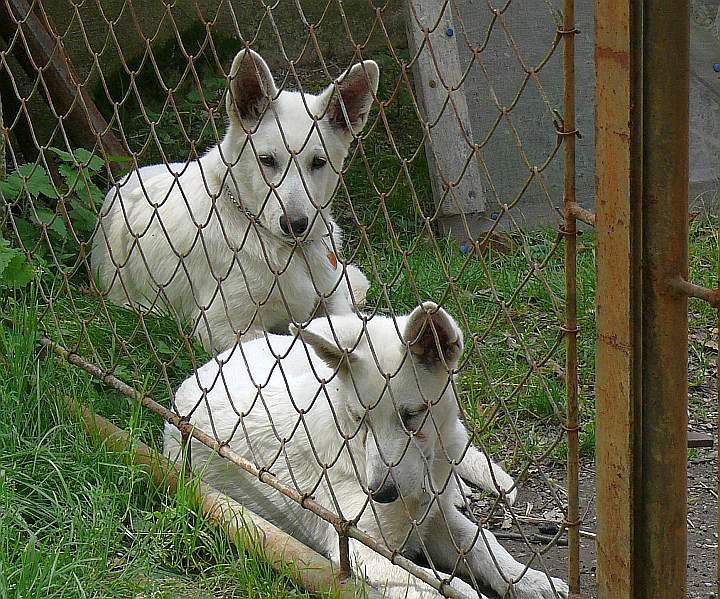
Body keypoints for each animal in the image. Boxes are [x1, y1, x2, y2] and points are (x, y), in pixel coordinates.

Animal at [163, 304, 568, 599]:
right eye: (360, 420)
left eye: (411, 416)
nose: (382, 494)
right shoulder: (362, 549)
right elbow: (441, 586)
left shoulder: (434, 517)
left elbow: (483, 544)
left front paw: (529, 579)